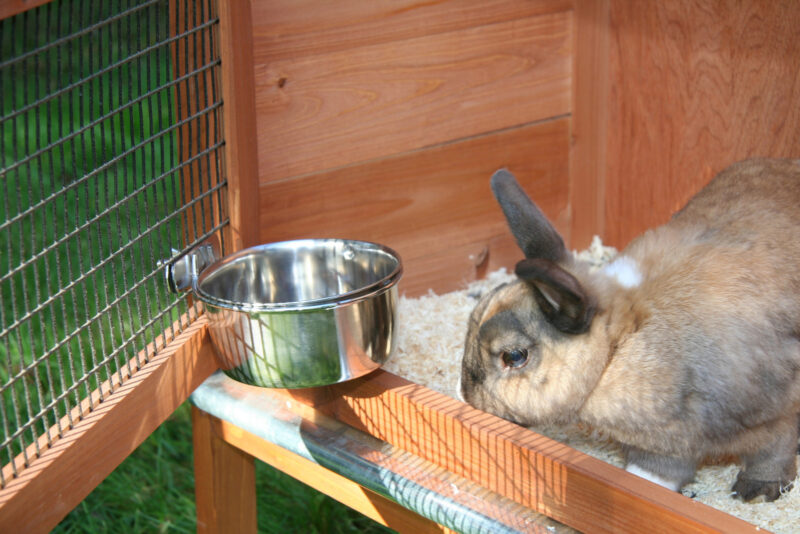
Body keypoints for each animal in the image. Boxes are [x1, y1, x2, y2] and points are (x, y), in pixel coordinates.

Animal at [460, 158, 800, 502]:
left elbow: (773, 451)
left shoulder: (777, 415)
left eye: (514, 356)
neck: (617, 347)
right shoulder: (665, 446)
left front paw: (757, 490)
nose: (467, 396)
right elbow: (650, 477)